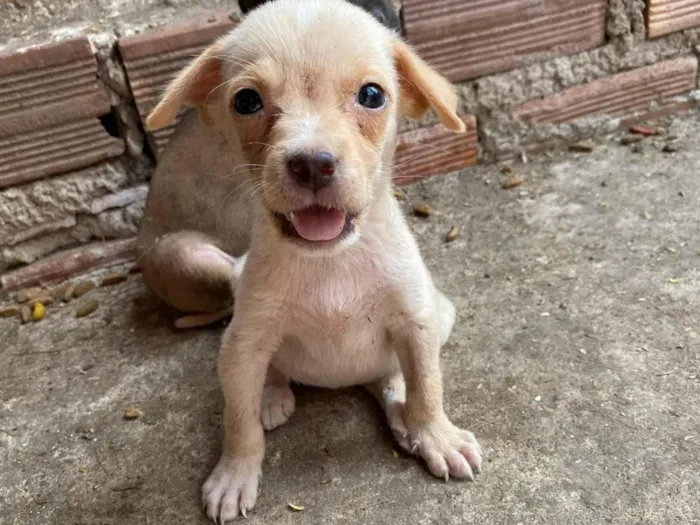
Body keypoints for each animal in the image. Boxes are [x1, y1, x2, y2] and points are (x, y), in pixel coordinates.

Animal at [140, 0, 484, 516]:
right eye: (246, 101)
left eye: (371, 95)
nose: (311, 164)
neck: (332, 262)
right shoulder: (244, 342)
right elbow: (237, 421)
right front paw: (234, 473)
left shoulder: (418, 323)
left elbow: (427, 386)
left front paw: (436, 436)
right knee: (270, 375)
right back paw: (271, 395)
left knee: (391, 380)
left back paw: (403, 418)